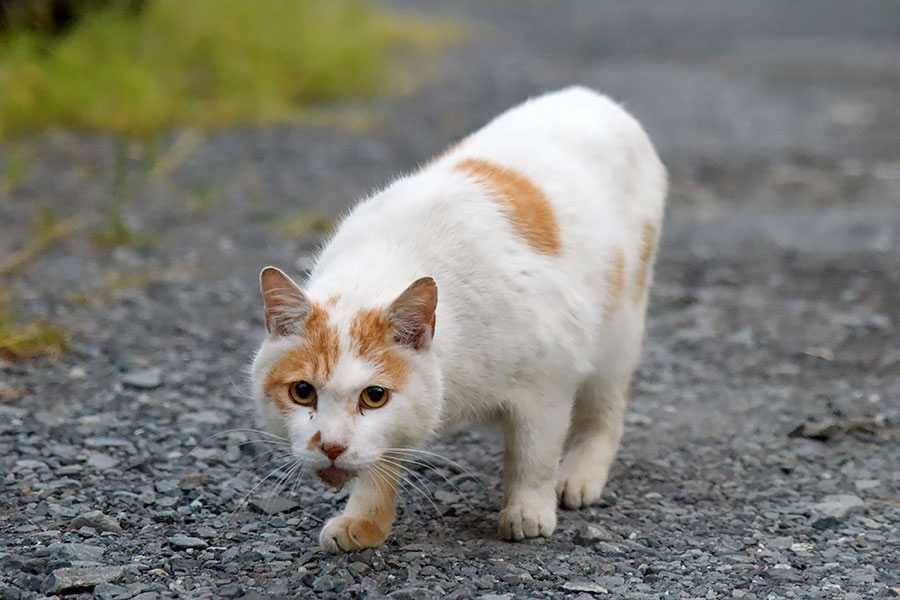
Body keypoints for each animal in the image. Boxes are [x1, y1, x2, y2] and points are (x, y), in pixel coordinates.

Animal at [250, 85, 664, 552]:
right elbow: (380, 464)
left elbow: (533, 456)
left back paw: (579, 476)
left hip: (619, 330)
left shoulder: (547, 383)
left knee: (605, 409)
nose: (332, 446)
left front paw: (528, 511)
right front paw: (365, 522)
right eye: (302, 392)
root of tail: (588, 94)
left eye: (373, 396)